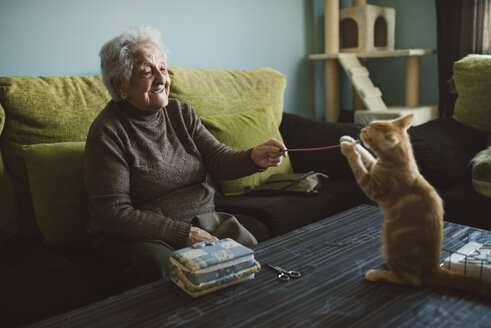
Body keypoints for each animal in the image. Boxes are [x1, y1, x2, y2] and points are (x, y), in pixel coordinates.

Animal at [340, 114, 491, 296]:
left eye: (369, 133)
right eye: (370, 125)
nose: (362, 130)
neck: (402, 161)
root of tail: (433, 269)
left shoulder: (373, 186)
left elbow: (359, 167)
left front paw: (348, 150)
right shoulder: (375, 167)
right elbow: (369, 158)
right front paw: (350, 142)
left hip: (390, 239)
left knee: (412, 280)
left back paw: (377, 274)